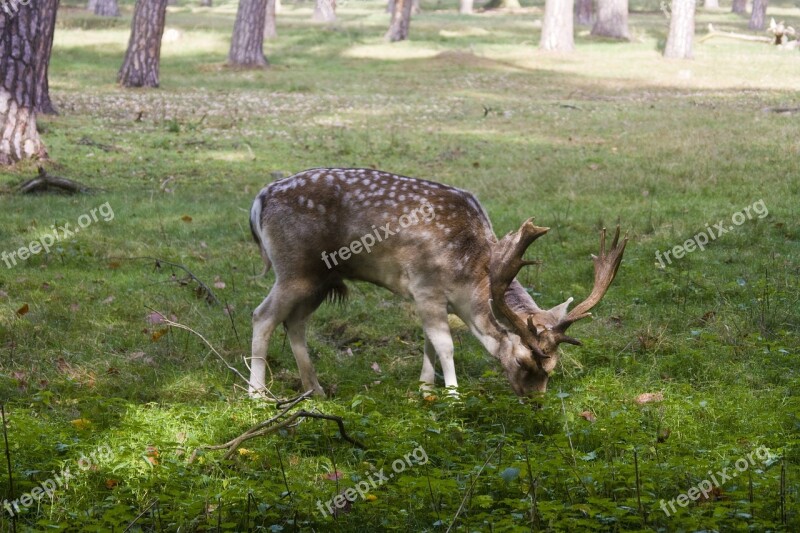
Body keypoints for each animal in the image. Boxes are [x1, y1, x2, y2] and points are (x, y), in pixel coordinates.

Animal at [247, 168, 628, 396]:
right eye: (523, 361)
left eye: (553, 367)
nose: (534, 398)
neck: (469, 280)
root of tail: (259, 199)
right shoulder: (425, 285)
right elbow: (445, 344)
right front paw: (453, 395)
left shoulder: (432, 298)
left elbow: (428, 341)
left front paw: (426, 389)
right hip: (294, 268)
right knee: (262, 315)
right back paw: (258, 394)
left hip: (319, 279)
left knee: (295, 323)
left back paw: (316, 390)